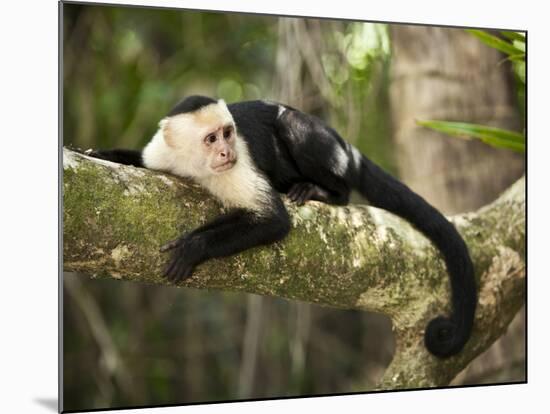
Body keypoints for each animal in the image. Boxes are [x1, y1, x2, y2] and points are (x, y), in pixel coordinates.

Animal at [89, 95, 478, 358]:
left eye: (228, 133)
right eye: (211, 139)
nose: (227, 153)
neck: (196, 166)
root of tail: (347, 146)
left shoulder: (238, 169)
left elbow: (273, 221)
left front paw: (193, 246)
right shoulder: (163, 154)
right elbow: (140, 161)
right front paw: (100, 153)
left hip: (330, 149)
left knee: (293, 125)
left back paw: (325, 191)